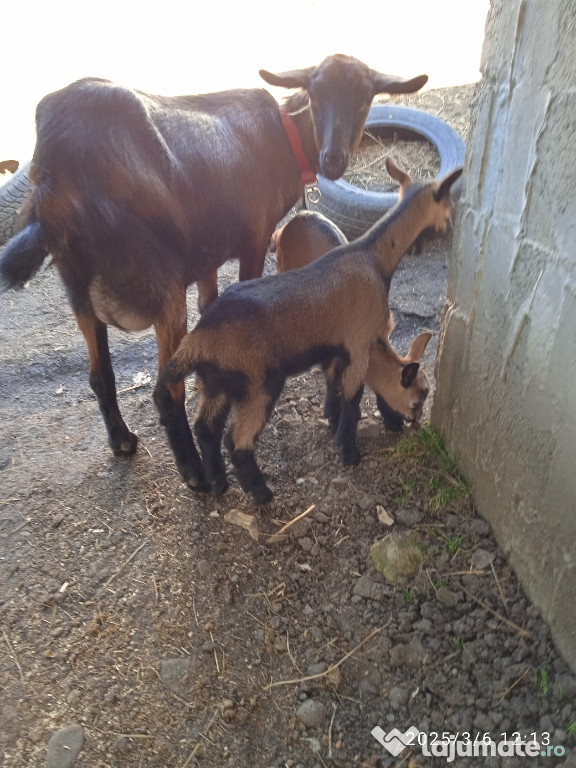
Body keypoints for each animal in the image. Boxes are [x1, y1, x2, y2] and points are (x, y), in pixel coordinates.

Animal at [0, 58, 426, 486]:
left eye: (365, 99)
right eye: (317, 94)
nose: (333, 160)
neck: (283, 137)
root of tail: (55, 167)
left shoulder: (207, 249)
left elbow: (209, 302)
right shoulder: (254, 237)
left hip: (77, 285)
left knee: (100, 375)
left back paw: (122, 441)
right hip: (161, 285)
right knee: (164, 390)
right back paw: (196, 474)